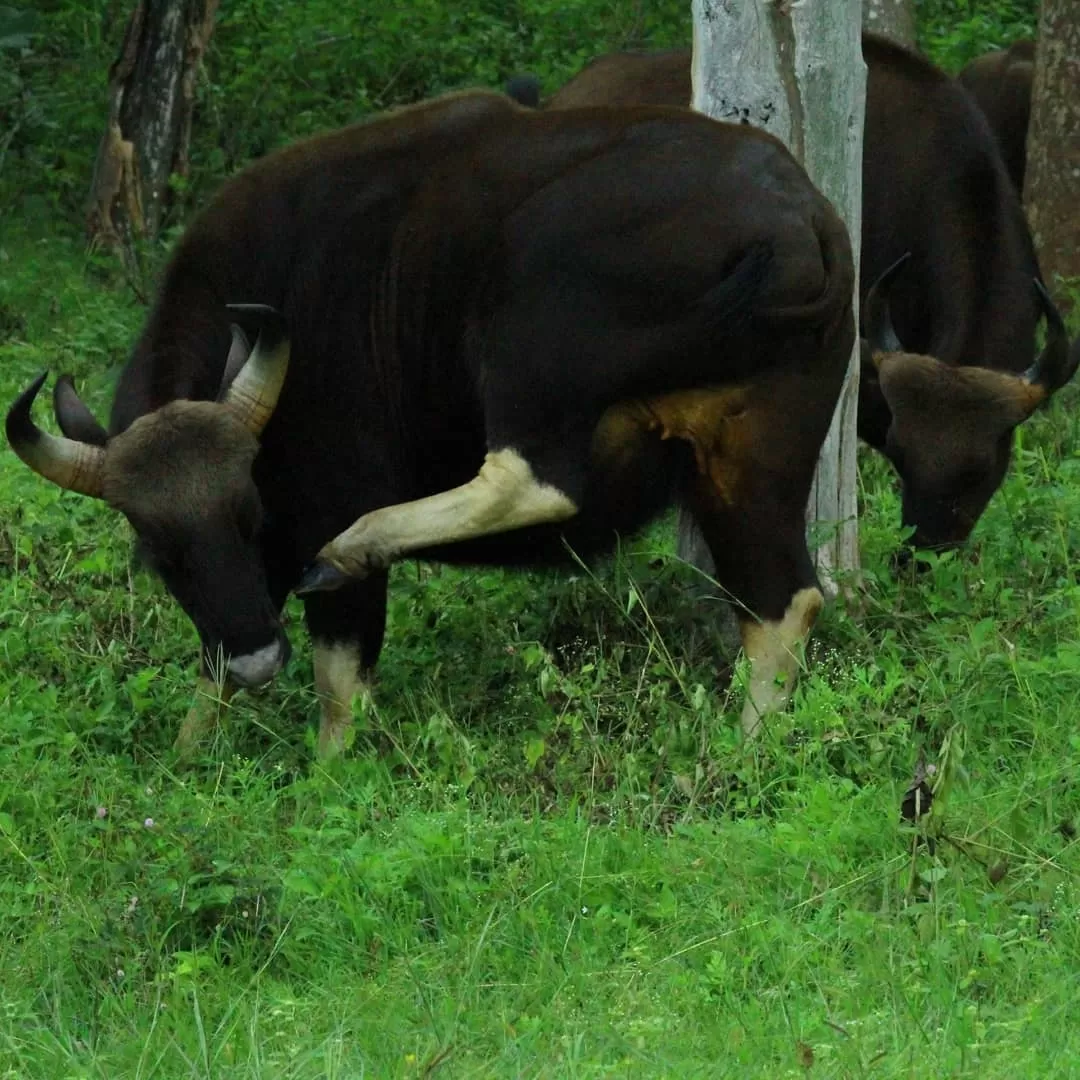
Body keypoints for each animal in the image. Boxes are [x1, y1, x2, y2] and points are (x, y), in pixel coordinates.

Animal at [8, 90, 851, 751]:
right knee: (783, 600)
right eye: (159, 550)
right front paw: (188, 762)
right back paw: (746, 752)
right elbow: (211, 674)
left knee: (533, 477)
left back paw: (356, 545)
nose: (259, 661)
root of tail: (794, 220)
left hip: (529, 328)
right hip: (753, 452)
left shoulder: (324, 501)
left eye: (249, 512)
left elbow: (338, 685)